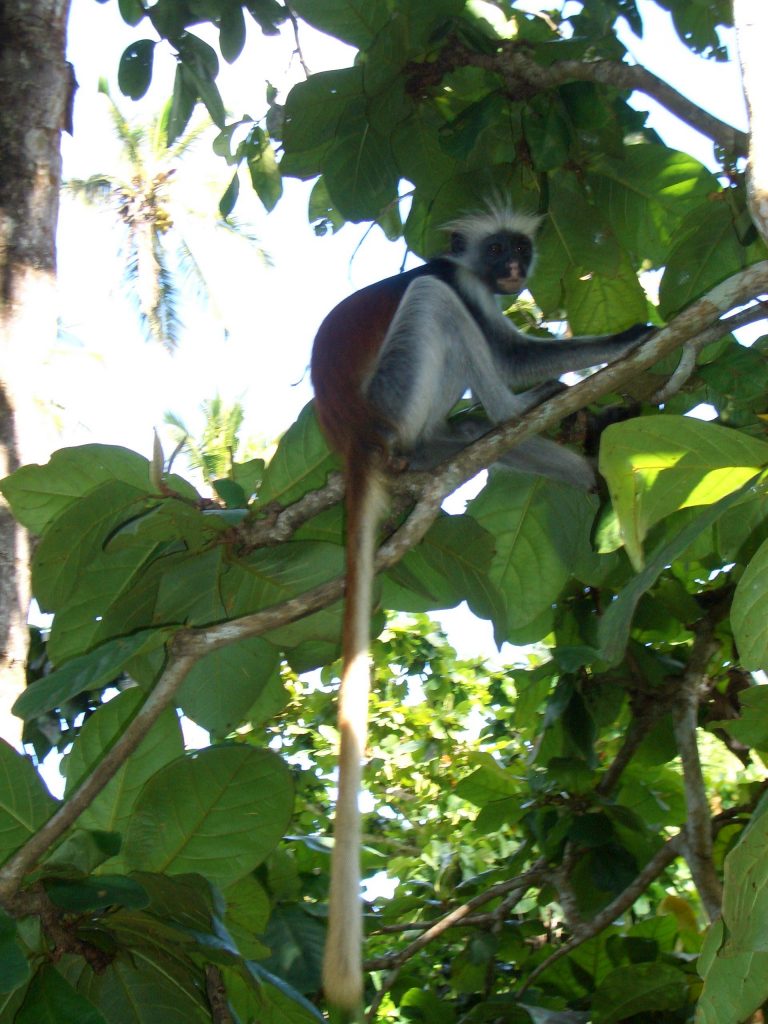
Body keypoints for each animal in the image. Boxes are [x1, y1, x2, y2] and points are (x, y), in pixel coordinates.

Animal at [309, 205, 651, 1007]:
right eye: (497, 250)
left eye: (520, 250)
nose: (514, 270)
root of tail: (352, 438)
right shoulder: (461, 283)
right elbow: (504, 348)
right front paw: (622, 344)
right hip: (395, 395)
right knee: (440, 318)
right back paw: (525, 415)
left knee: (466, 425)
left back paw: (571, 460)